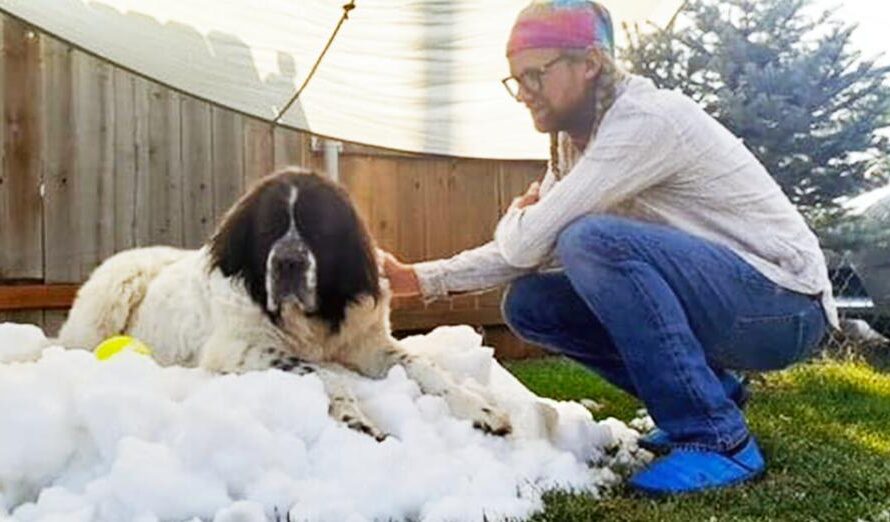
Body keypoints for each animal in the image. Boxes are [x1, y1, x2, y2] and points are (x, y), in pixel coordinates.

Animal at [57, 168, 548, 442]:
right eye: (268, 228)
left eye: (319, 229)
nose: (288, 262)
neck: (312, 318)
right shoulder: (243, 349)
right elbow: (326, 375)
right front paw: (356, 419)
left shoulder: (369, 342)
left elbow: (424, 368)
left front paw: (480, 409)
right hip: (112, 292)